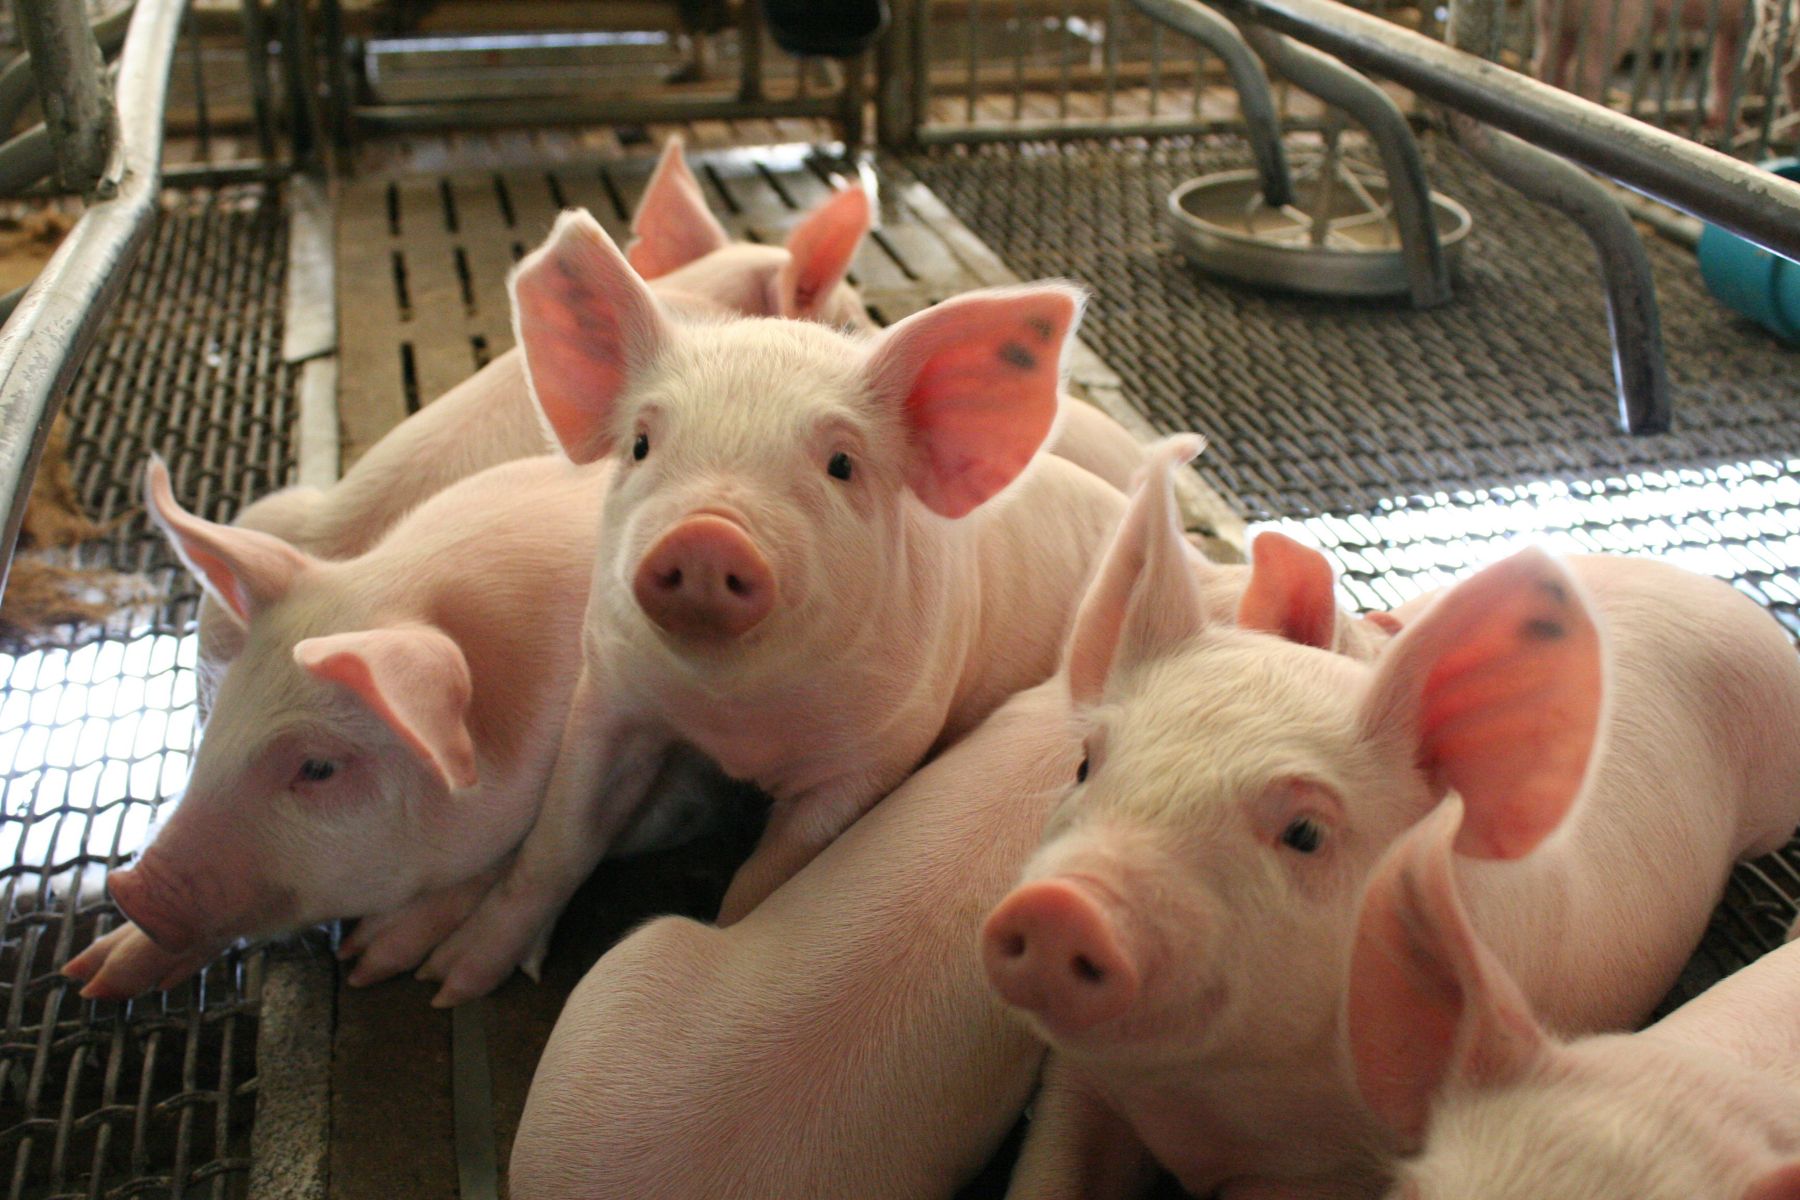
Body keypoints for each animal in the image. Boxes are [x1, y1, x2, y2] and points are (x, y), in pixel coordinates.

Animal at [65, 453, 720, 1000]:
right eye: (222, 713)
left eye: (319, 767)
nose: (130, 890)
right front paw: (94, 976)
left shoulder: (673, 787)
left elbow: (539, 847)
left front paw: (383, 965)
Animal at [411, 209, 1141, 1007]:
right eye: (641, 442)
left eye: (841, 464)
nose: (707, 534)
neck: (736, 720)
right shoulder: (608, 691)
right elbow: (558, 842)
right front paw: (443, 983)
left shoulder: (872, 755)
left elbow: (763, 882)